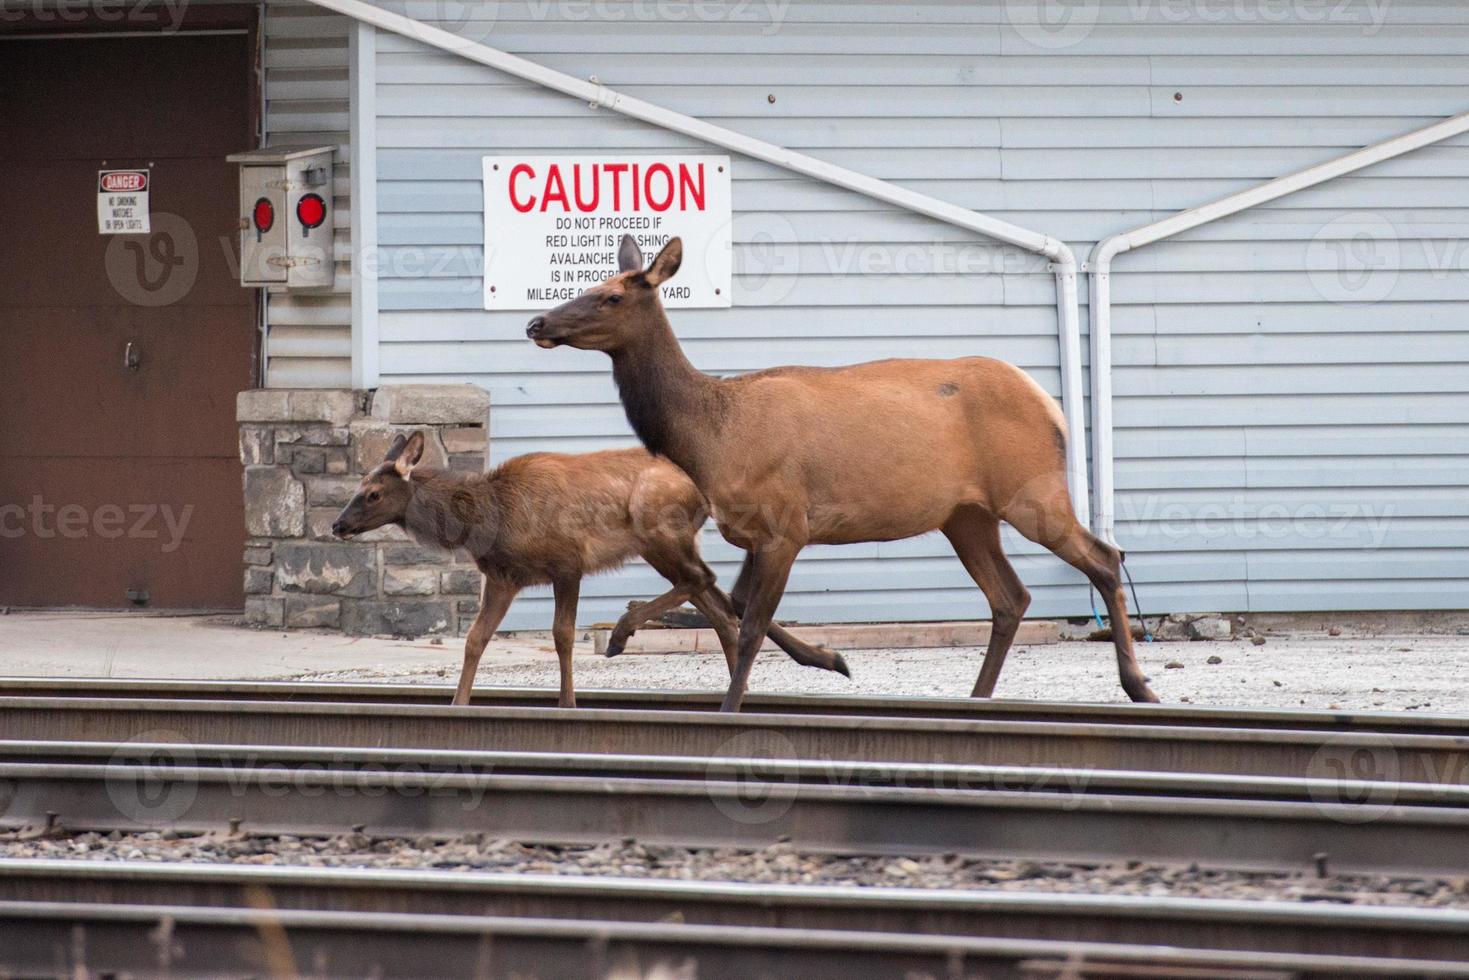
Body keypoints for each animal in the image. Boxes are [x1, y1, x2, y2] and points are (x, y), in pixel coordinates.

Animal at [327, 434, 846, 705]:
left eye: (372, 493)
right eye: (358, 485)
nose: (338, 524)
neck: (487, 518)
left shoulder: (566, 562)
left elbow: (562, 636)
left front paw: (568, 703)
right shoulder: (503, 576)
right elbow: (476, 638)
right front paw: (458, 705)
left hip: (656, 526)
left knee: (706, 583)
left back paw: (622, 633)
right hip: (665, 542)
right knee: (720, 604)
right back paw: (795, 667)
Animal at [528, 238, 1157, 714]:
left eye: (610, 295)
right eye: (589, 284)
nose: (536, 321)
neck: (711, 437)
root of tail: (1051, 408)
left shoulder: (787, 523)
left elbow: (749, 622)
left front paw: (726, 703)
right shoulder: (754, 529)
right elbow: (734, 601)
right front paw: (827, 658)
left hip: (1031, 491)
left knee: (1104, 557)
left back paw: (1139, 687)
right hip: (965, 515)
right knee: (1011, 597)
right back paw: (976, 701)